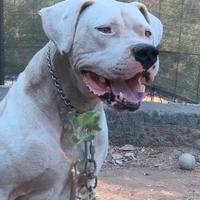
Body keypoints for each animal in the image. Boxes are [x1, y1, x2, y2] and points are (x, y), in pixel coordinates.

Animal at [0, 0, 162, 199]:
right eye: (105, 29)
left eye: (147, 33)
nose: (147, 52)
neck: (75, 111)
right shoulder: (5, 187)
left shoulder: (83, 184)